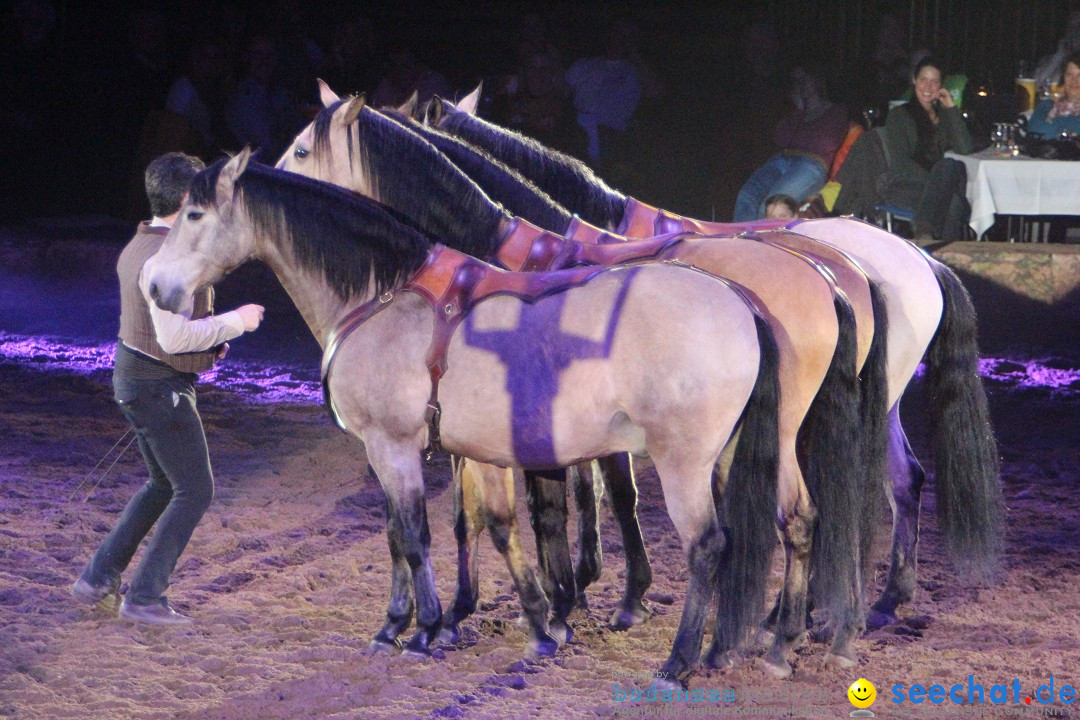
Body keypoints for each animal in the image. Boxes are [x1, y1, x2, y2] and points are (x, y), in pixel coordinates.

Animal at [145, 153, 786, 686]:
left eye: (195, 214)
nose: (153, 285)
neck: (386, 298)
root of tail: (738, 300)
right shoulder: (418, 451)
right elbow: (411, 532)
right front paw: (404, 623)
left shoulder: (392, 446)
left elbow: (413, 534)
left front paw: (422, 628)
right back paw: (717, 649)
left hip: (683, 462)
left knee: (706, 546)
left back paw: (678, 662)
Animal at [276, 88, 868, 677]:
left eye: (302, 150)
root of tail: (827, 278)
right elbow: (551, 504)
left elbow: (542, 510)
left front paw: (554, 606)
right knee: (807, 515)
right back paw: (793, 629)